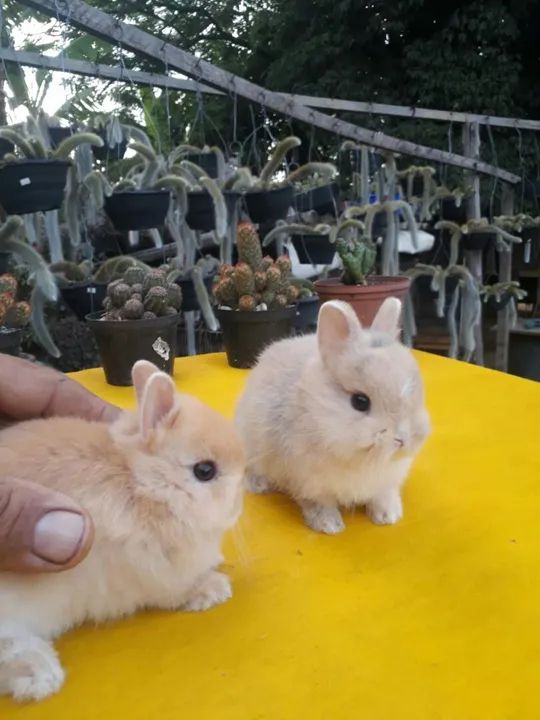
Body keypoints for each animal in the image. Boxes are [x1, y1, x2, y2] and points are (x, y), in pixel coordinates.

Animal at [0, 360, 245, 703]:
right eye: (205, 471)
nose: (239, 504)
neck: (145, 486)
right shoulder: (155, 574)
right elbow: (177, 590)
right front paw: (213, 588)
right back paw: (41, 675)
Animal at [235, 298, 430, 535]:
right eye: (360, 401)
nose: (403, 439)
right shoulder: (310, 483)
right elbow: (319, 503)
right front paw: (330, 526)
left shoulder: (386, 480)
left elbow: (382, 494)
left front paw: (388, 516)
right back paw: (259, 485)